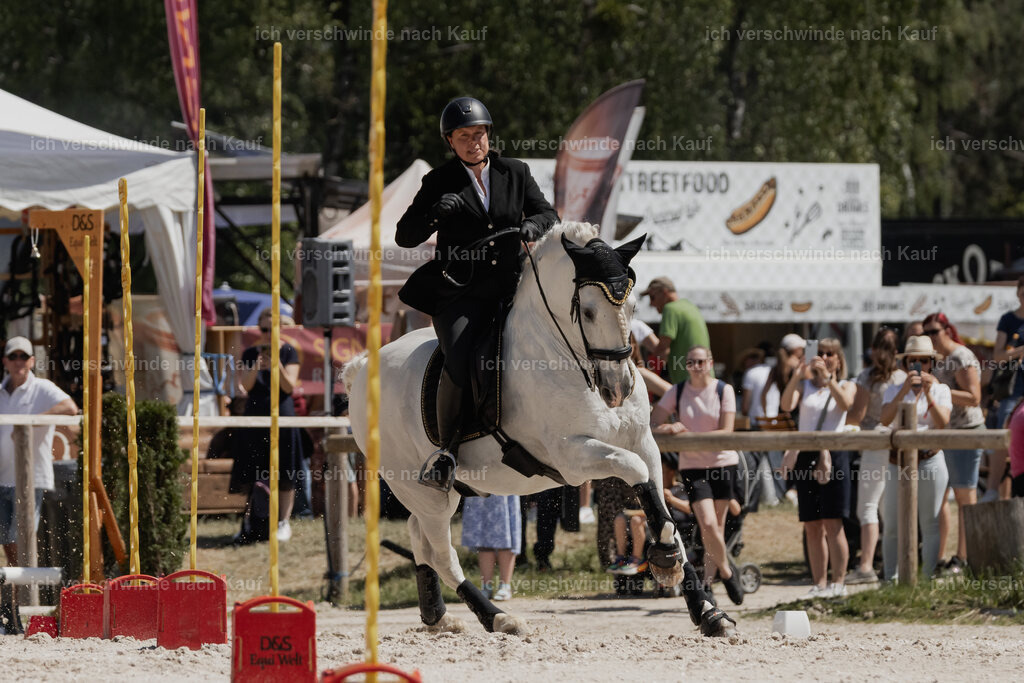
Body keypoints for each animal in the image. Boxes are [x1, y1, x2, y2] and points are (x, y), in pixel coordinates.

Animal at [343, 221, 736, 637]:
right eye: (589, 312)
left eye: (632, 307)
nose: (618, 389)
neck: (562, 352)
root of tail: (363, 367)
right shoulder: (573, 457)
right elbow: (634, 470)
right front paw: (664, 558)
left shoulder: (643, 442)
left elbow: (660, 502)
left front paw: (705, 608)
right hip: (419, 488)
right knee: (440, 552)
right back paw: (497, 617)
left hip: (435, 494)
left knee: (420, 539)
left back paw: (439, 617)